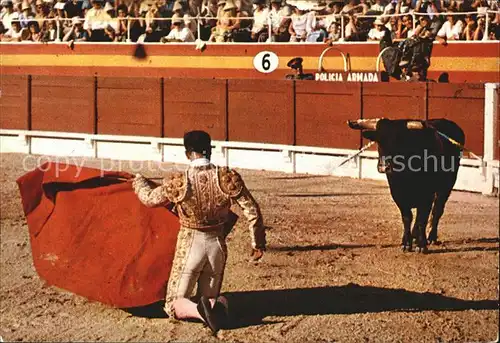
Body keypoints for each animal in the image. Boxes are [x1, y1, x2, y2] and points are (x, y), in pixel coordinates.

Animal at [348, 119, 464, 254]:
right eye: (378, 141)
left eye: (398, 140)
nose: (384, 167)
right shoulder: (397, 195)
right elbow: (407, 218)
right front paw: (406, 243)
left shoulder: (427, 195)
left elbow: (422, 219)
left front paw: (422, 245)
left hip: (447, 185)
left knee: (437, 210)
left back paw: (431, 237)